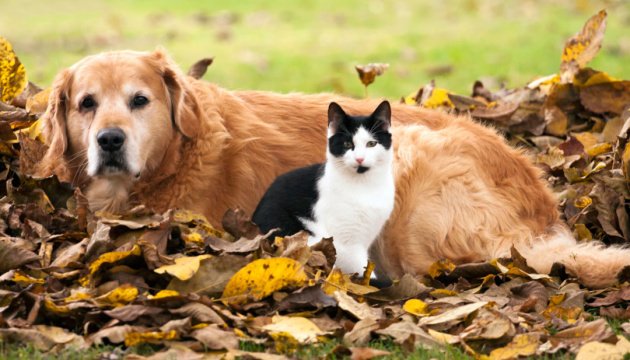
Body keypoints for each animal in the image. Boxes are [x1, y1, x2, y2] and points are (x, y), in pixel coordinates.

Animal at [253, 100, 396, 274]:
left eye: (371, 144)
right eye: (347, 144)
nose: (360, 159)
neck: (364, 185)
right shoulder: (345, 243)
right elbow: (360, 269)